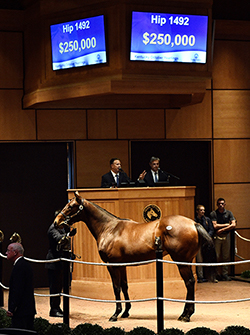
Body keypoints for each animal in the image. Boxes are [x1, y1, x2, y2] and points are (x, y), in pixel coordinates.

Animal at [54, 193, 217, 324]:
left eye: (71, 206)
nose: (56, 221)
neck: (110, 228)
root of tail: (194, 223)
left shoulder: (112, 265)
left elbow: (116, 287)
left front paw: (115, 314)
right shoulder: (122, 265)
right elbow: (125, 286)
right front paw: (126, 311)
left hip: (181, 262)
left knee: (189, 283)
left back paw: (186, 315)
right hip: (186, 261)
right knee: (191, 283)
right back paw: (186, 313)